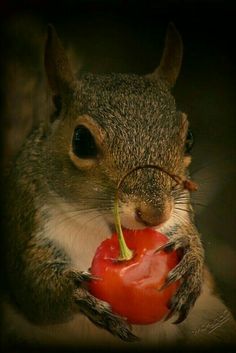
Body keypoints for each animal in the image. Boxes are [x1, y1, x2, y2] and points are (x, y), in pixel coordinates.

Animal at [1, 23, 236, 350]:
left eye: (189, 138)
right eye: (81, 141)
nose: (154, 214)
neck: (103, 228)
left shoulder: (180, 211)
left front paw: (191, 256)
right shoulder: (25, 219)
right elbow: (32, 291)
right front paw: (75, 292)